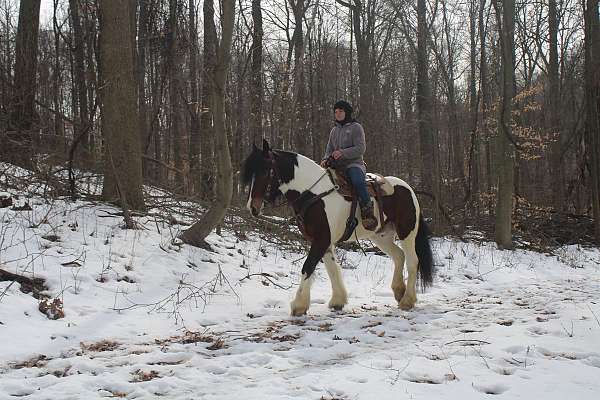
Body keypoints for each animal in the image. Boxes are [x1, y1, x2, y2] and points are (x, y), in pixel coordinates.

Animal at [241, 140, 434, 316]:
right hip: (381, 236)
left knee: (412, 261)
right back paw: (399, 291)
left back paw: (407, 300)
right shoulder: (323, 241)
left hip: (407, 232)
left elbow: (308, 266)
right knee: (399, 256)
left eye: (266, 171)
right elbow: (332, 268)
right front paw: (337, 301)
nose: (252, 207)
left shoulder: (321, 239)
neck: (313, 194)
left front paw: (298, 305)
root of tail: (409, 189)